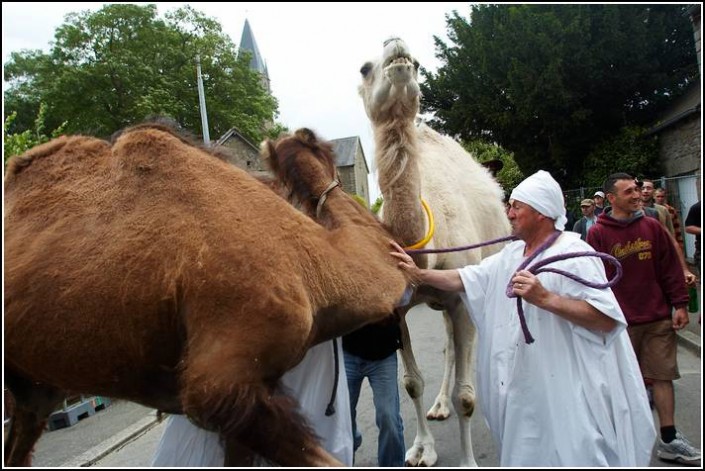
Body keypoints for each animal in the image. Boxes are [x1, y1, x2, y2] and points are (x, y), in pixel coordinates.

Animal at [360, 37, 508, 468]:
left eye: (418, 64)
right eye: (363, 68)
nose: (396, 46)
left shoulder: (461, 296)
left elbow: (467, 397)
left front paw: (470, 461)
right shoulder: (398, 309)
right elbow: (411, 383)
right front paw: (422, 448)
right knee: (446, 347)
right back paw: (440, 405)